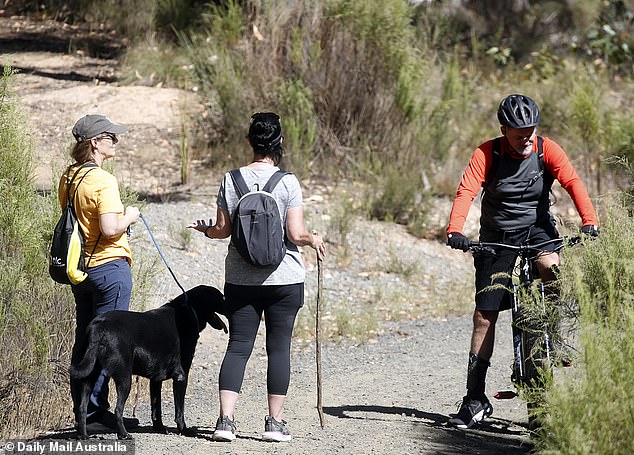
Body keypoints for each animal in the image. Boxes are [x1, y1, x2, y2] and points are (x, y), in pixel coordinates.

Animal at [70, 286, 227, 440]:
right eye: (221, 297)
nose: (230, 305)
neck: (188, 310)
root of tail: (98, 327)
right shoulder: (181, 376)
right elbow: (179, 411)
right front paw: (184, 430)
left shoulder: (156, 379)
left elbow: (156, 408)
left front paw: (160, 428)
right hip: (124, 377)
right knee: (118, 409)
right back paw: (123, 434)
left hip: (90, 376)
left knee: (82, 408)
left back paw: (83, 435)